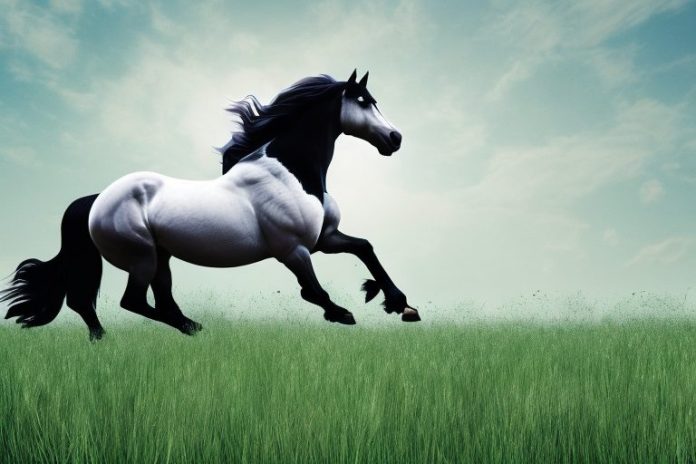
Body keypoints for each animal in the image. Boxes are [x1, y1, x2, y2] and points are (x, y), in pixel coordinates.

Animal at [1, 70, 420, 340]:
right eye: (363, 101)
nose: (395, 138)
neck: (294, 172)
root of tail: (94, 201)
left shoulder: (324, 239)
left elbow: (365, 248)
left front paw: (401, 305)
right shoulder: (292, 249)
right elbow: (312, 291)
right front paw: (344, 313)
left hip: (160, 257)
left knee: (149, 301)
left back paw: (177, 331)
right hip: (141, 257)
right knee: (128, 302)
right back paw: (153, 334)